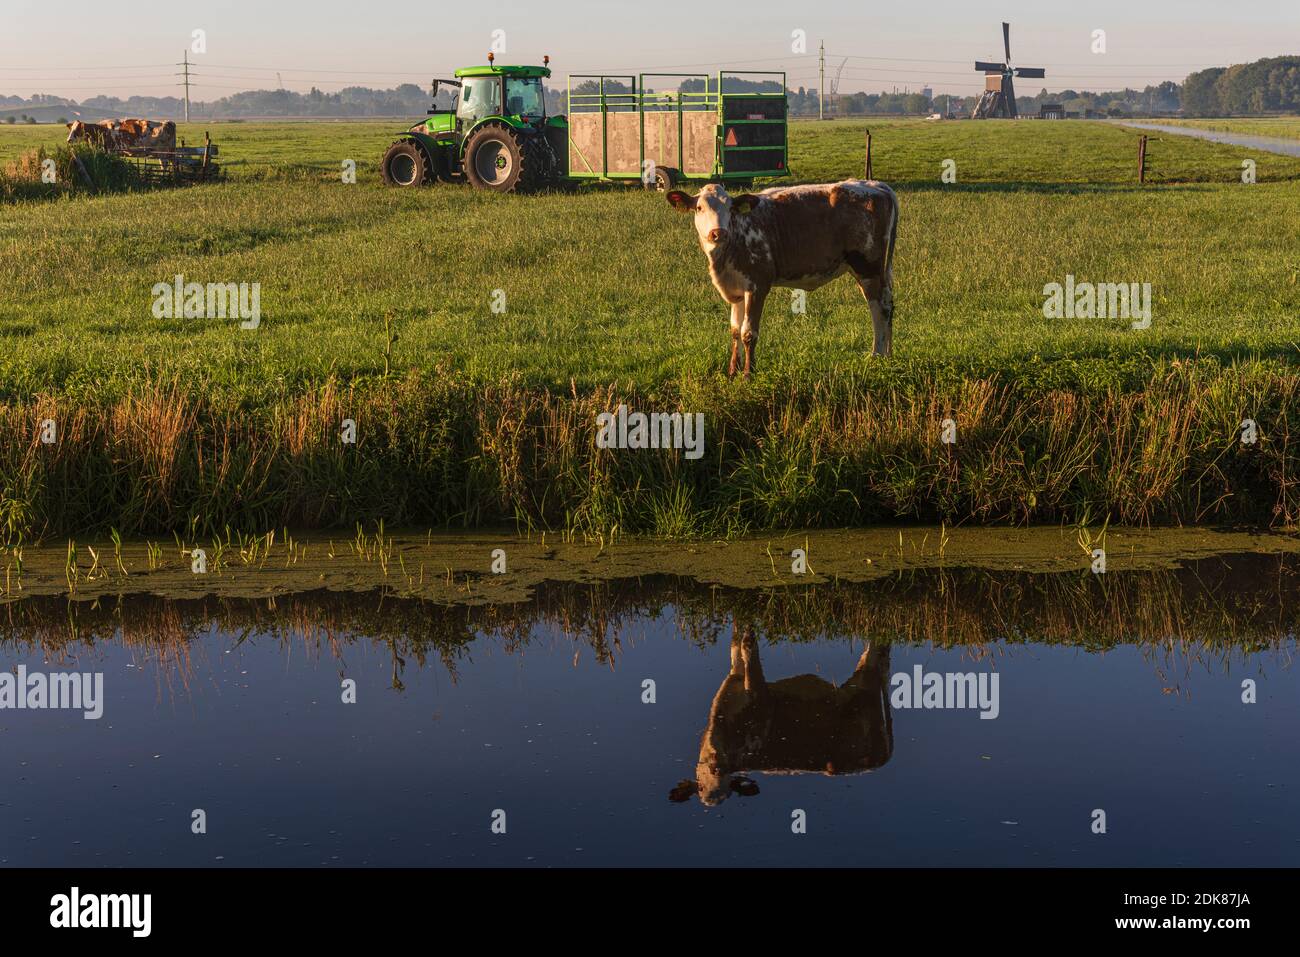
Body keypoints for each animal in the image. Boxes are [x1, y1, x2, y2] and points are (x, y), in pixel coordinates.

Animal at [670, 179, 894, 377]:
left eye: (730, 208)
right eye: (699, 208)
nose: (718, 233)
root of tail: (875, 185)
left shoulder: (757, 286)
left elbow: (748, 333)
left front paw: (748, 374)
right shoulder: (736, 288)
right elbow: (735, 330)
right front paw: (733, 370)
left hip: (868, 267)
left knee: (879, 309)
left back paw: (877, 356)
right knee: (889, 305)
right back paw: (889, 355)